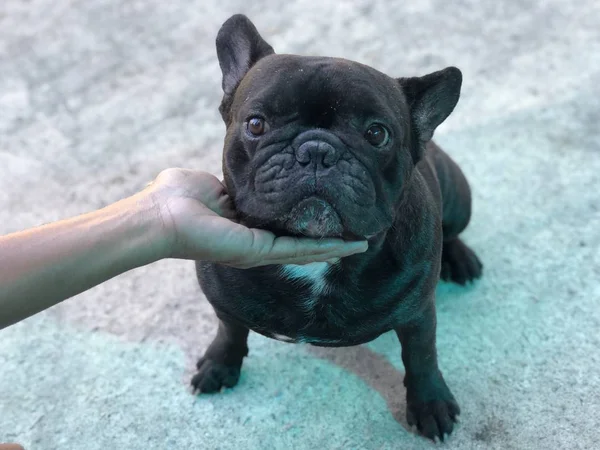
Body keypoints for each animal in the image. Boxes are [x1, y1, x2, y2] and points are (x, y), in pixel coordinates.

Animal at [192, 14, 482, 440]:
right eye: (256, 124)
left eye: (377, 134)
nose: (316, 150)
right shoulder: (222, 300)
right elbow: (229, 329)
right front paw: (219, 364)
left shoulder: (417, 314)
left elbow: (422, 357)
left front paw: (431, 404)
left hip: (458, 194)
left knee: (455, 229)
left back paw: (460, 259)